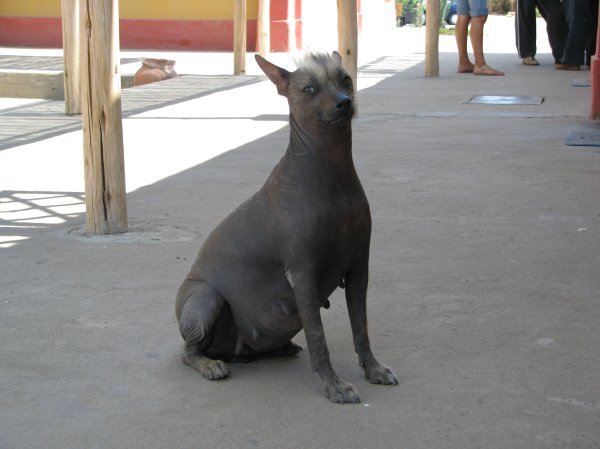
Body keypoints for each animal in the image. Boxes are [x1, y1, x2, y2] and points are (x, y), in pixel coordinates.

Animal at [175, 52, 398, 402]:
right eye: (309, 89)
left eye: (345, 79)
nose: (344, 102)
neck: (330, 172)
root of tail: (233, 353)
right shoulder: (303, 275)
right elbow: (319, 338)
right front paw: (334, 385)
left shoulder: (359, 268)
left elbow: (361, 327)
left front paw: (373, 369)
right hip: (204, 298)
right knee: (189, 351)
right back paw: (210, 364)